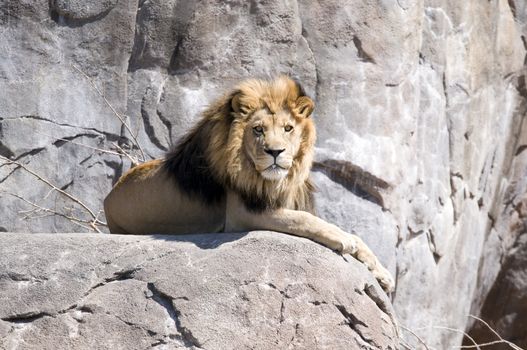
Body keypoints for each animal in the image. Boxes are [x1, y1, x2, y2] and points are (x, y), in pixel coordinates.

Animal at [105, 75, 396, 292]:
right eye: (258, 129)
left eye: (288, 128)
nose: (275, 152)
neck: (272, 180)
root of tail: (108, 198)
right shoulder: (242, 214)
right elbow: (303, 219)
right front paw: (343, 239)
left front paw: (382, 273)